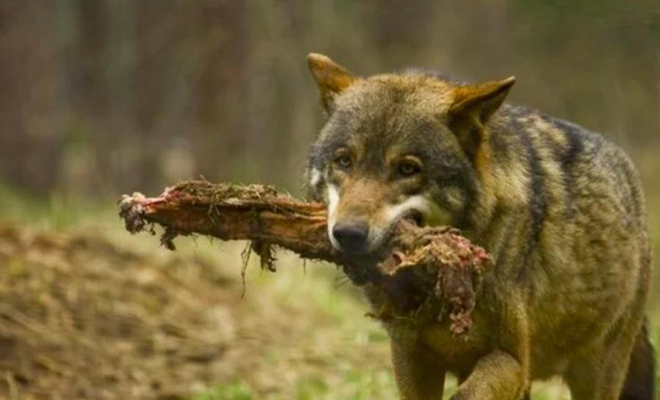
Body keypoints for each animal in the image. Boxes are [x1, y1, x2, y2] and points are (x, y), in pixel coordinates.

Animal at [304, 54, 656, 400]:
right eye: (344, 161)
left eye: (407, 169)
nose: (348, 234)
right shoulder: (410, 356)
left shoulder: (511, 359)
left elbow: (465, 395)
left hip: (595, 372)